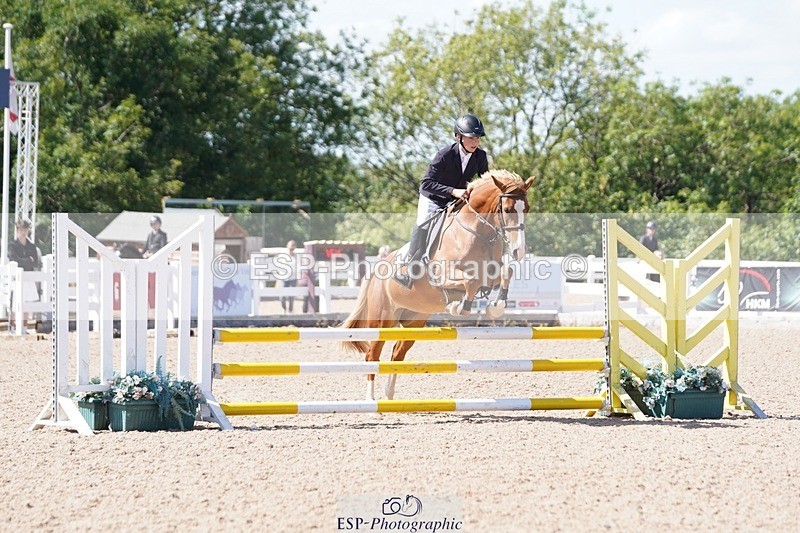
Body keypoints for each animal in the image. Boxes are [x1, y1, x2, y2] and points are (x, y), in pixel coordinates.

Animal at [340, 169, 534, 401]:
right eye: (507, 209)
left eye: (527, 208)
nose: (519, 251)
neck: (478, 233)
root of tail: (375, 270)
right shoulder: (443, 275)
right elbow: (471, 281)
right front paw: (458, 307)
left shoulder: (492, 274)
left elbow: (506, 272)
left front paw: (495, 307)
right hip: (382, 320)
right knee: (372, 355)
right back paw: (371, 400)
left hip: (414, 321)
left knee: (397, 354)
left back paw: (389, 394)